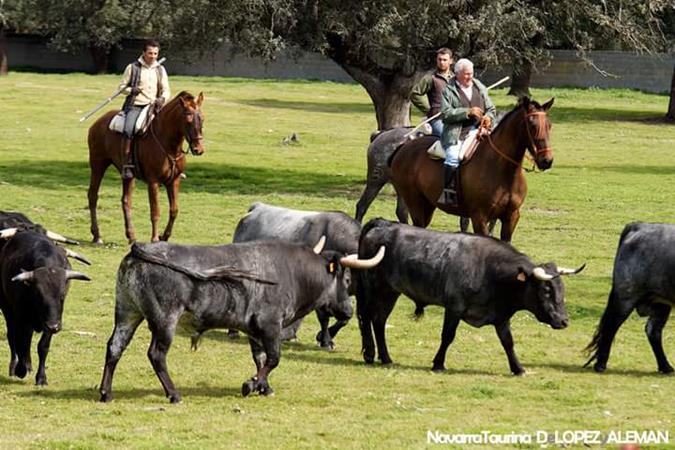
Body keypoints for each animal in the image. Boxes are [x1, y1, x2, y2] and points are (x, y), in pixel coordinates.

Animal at [87, 90, 205, 243]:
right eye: (188, 119)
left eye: (202, 119)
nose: (198, 149)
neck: (168, 144)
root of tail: (98, 122)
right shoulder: (153, 182)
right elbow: (155, 211)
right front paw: (154, 238)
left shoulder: (174, 181)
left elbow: (174, 210)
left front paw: (164, 236)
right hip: (98, 165)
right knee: (93, 196)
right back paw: (97, 235)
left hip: (128, 176)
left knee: (126, 201)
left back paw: (131, 236)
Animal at [101, 239, 386, 400]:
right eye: (346, 280)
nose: (348, 311)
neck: (293, 272)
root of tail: (140, 249)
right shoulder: (270, 325)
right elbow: (274, 358)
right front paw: (251, 385)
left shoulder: (254, 331)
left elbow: (261, 359)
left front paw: (264, 387)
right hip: (165, 319)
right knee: (156, 355)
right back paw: (174, 394)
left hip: (127, 312)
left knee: (114, 347)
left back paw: (106, 393)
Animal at [356, 220, 584, 374]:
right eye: (546, 290)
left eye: (562, 289)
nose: (564, 321)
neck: (489, 269)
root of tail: (383, 224)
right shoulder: (454, 307)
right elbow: (447, 336)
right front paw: (438, 363)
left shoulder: (501, 317)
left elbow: (508, 342)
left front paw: (518, 368)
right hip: (372, 287)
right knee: (366, 316)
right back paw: (370, 354)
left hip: (390, 291)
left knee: (379, 320)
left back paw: (386, 357)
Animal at [390, 95, 556, 243]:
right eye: (532, 125)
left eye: (549, 125)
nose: (546, 160)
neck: (502, 170)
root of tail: (403, 147)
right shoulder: (480, 217)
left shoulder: (511, 217)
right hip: (415, 203)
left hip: (428, 205)